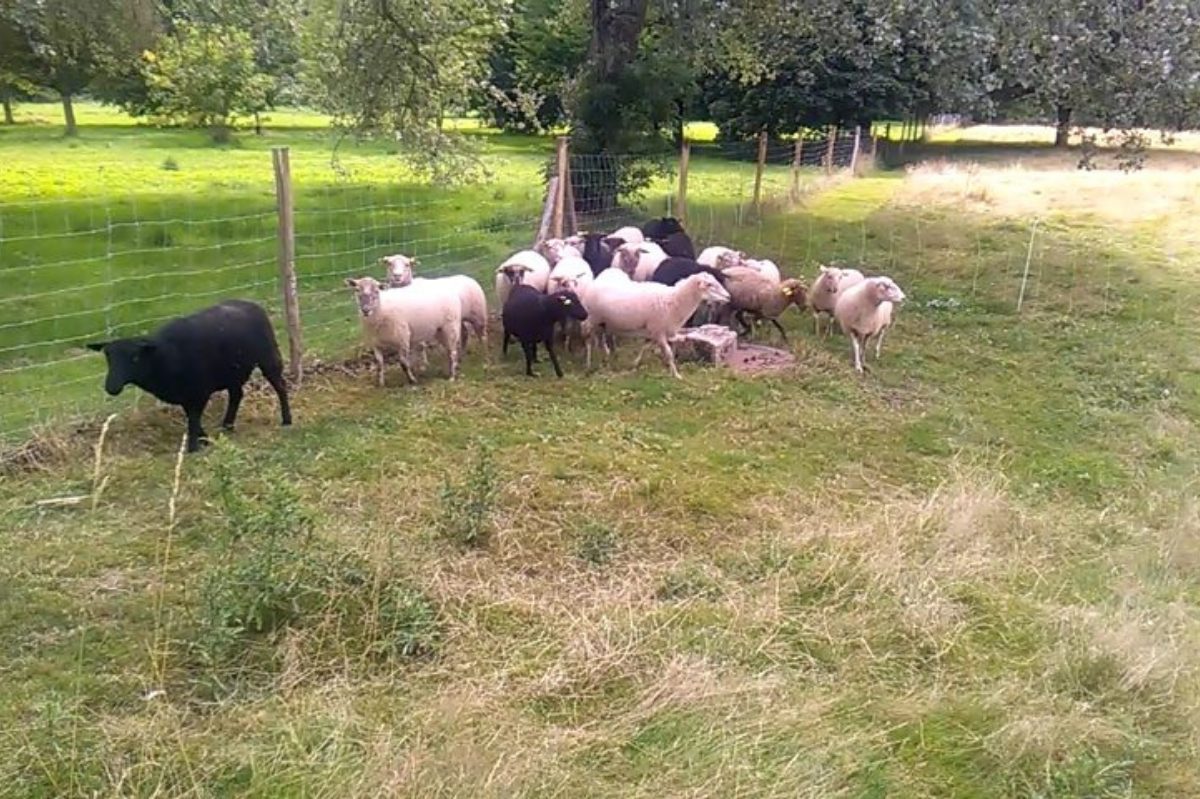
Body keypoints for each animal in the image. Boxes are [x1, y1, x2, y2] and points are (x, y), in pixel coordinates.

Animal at [87, 298, 292, 451]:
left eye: (135, 358)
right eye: (108, 358)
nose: (111, 387)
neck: (164, 356)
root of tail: (251, 304)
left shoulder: (200, 390)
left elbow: (193, 418)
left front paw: (193, 447)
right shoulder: (186, 393)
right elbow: (191, 415)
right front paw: (204, 439)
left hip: (268, 357)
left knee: (280, 386)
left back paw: (286, 420)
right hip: (233, 370)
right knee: (237, 395)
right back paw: (227, 426)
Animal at [580, 272, 729, 379]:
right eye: (709, 284)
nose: (728, 297)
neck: (675, 300)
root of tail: (593, 282)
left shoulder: (652, 330)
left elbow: (645, 346)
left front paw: (635, 363)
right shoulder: (659, 331)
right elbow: (669, 353)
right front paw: (676, 375)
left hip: (602, 321)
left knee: (599, 335)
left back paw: (605, 355)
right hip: (593, 317)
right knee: (586, 333)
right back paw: (588, 363)